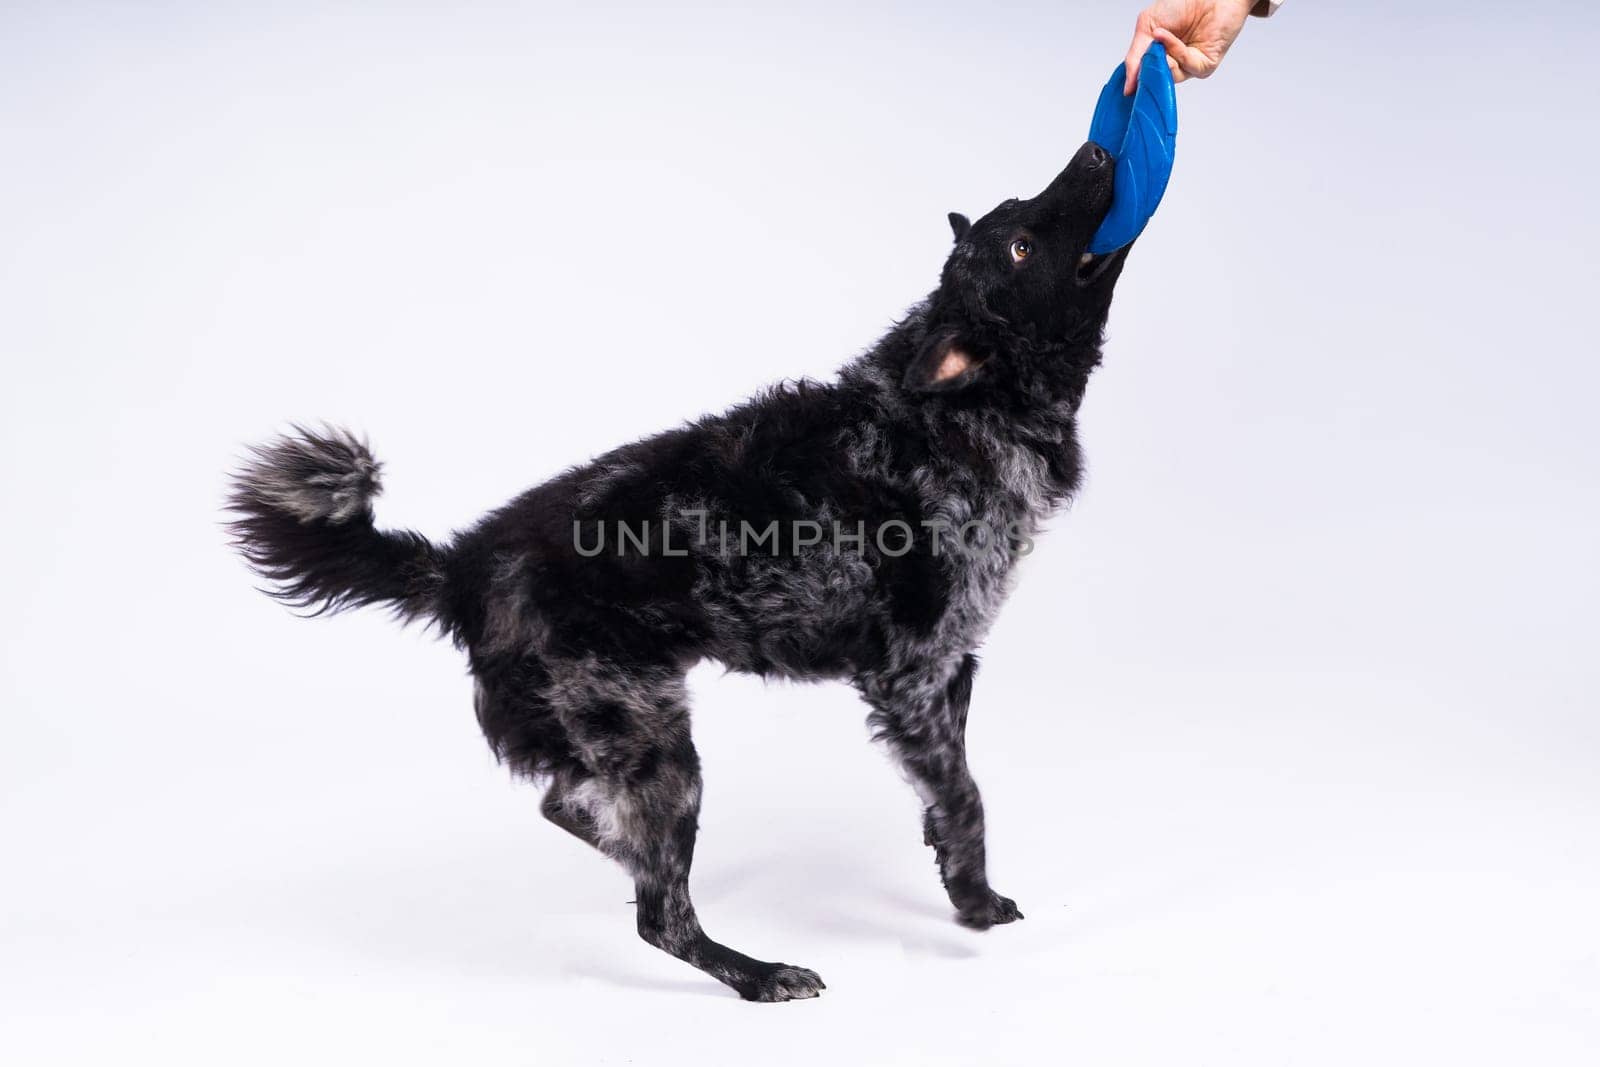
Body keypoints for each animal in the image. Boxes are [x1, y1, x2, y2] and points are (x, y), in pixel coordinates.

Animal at [225, 139, 1132, 1004]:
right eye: (1020, 244)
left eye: (1018, 213)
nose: (1099, 151)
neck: (955, 413)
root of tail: (463, 565)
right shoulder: (911, 675)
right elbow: (968, 798)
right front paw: (974, 906)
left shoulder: (952, 667)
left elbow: (951, 793)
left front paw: (953, 871)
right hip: (660, 751)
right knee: (660, 916)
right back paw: (759, 972)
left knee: (573, 810)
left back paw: (620, 848)